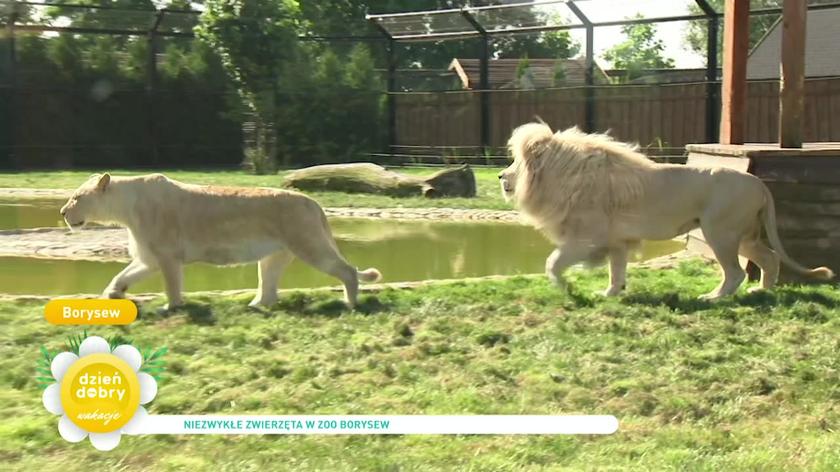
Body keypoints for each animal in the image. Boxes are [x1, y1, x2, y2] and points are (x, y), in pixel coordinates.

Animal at [60, 173, 382, 310]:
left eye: (76, 198)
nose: (62, 212)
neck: (125, 208)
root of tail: (313, 202)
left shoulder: (166, 255)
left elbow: (172, 285)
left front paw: (173, 308)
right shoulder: (149, 257)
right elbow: (122, 274)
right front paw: (112, 294)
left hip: (310, 245)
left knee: (347, 271)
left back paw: (349, 303)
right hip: (274, 256)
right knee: (269, 289)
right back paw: (255, 306)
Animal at [498, 121, 832, 298]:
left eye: (515, 163)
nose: (501, 176)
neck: (560, 177)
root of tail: (759, 183)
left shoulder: (586, 238)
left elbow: (552, 263)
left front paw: (566, 289)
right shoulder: (616, 241)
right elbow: (616, 270)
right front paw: (610, 294)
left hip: (720, 233)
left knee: (736, 273)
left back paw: (713, 298)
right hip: (744, 236)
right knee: (770, 258)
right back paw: (761, 291)